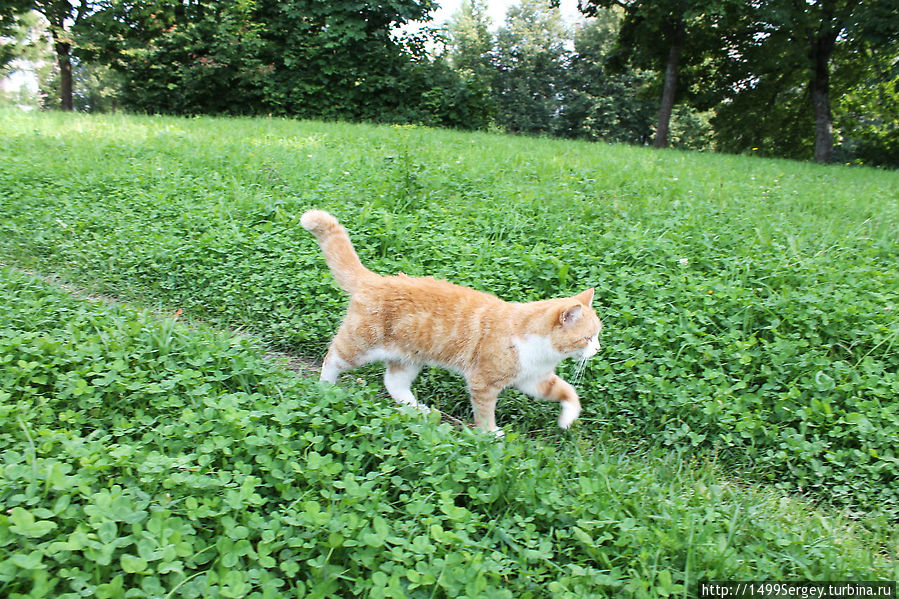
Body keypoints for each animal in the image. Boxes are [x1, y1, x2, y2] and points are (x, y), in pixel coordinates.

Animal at [302, 209, 604, 434]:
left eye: (597, 335)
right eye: (588, 337)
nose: (598, 349)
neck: (541, 350)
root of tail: (375, 280)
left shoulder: (535, 379)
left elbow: (568, 392)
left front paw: (567, 418)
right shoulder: (483, 382)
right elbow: (485, 412)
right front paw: (491, 435)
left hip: (408, 356)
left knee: (394, 382)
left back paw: (417, 409)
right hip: (360, 343)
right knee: (333, 357)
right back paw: (325, 389)